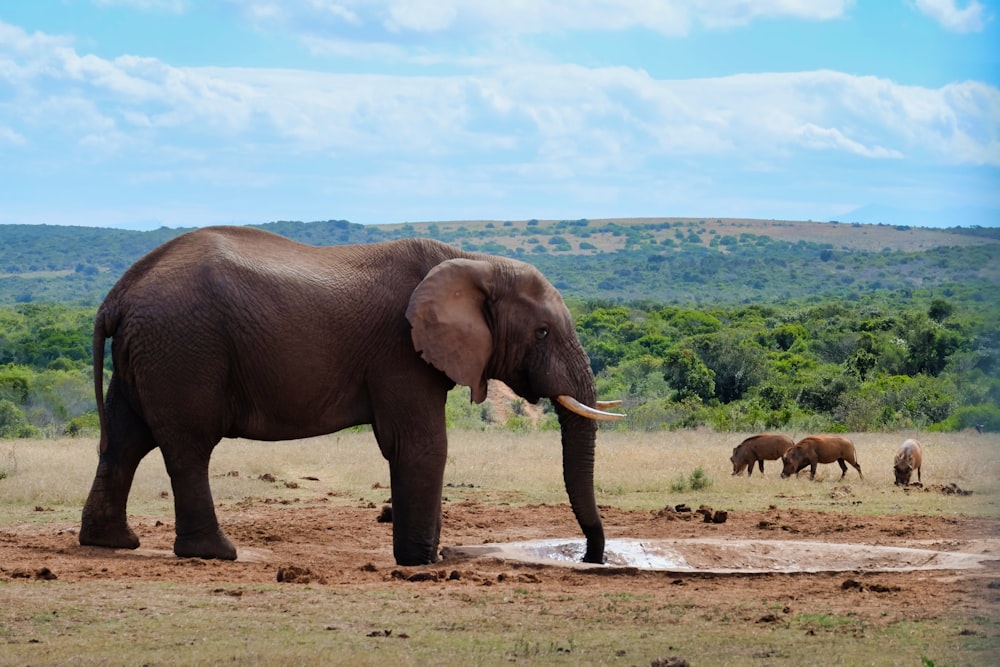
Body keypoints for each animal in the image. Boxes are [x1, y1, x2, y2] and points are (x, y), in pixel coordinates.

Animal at [80, 227, 624, 568]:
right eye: (542, 333)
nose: (591, 557)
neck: (475, 262)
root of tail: (117, 294)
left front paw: (432, 557)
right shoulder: (399, 351)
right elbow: (421, 445)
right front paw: (421, 563)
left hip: (149, 351)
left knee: (124, 441)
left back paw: (112, 543)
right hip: (184, 347)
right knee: (188, 446)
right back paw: (216, 554)